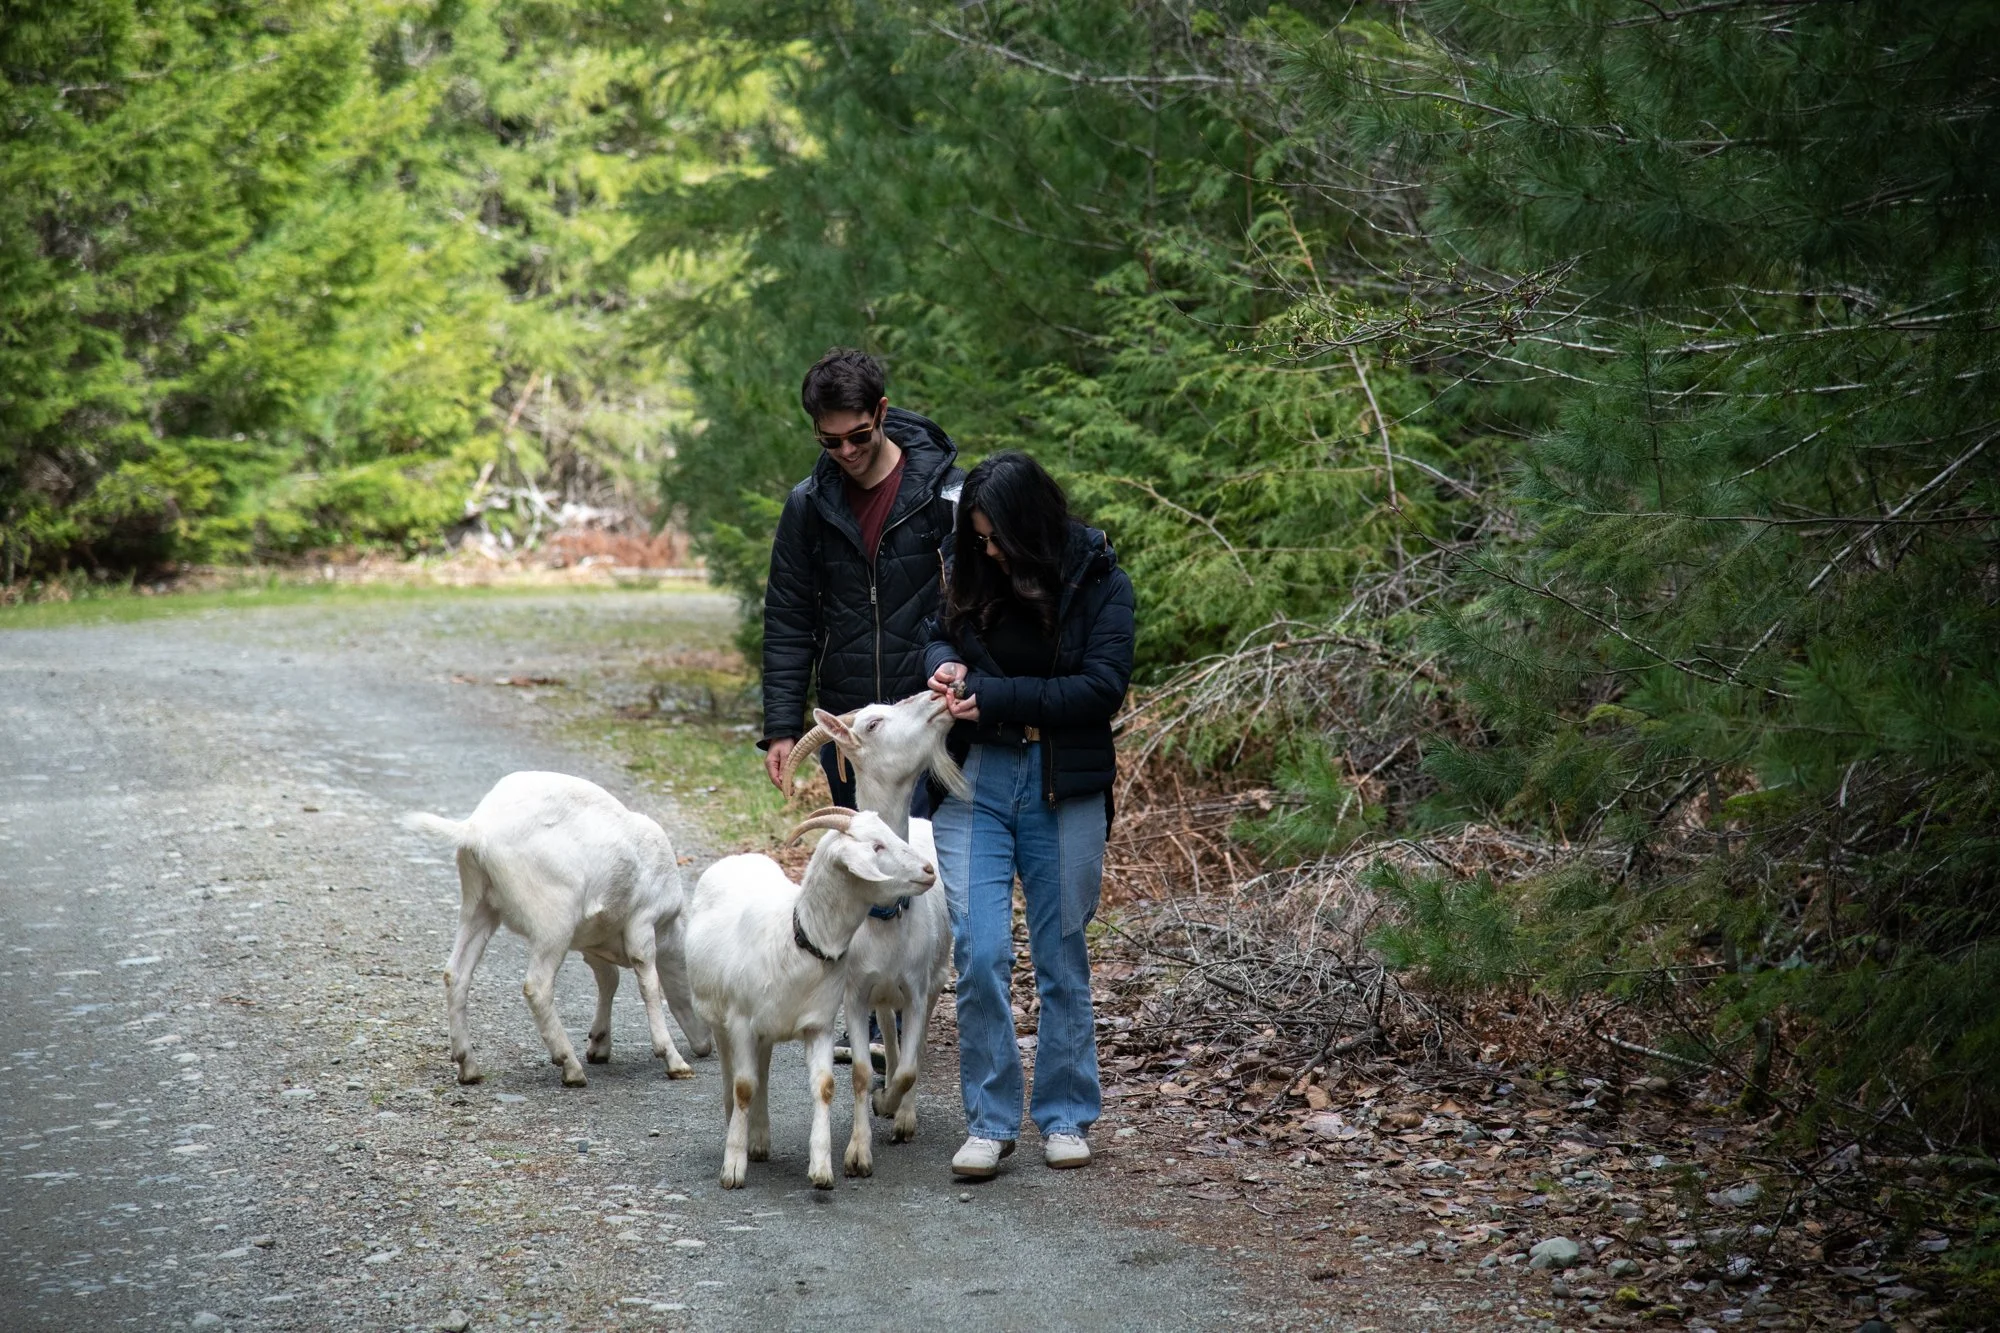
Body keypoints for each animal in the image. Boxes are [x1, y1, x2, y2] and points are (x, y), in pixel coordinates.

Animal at [400, 771, 712, 1088]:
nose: (706, 1047)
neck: (668, 930)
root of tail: (477, 829)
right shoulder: (642, 924)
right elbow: (647, 983)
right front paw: (674, 1061)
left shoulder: (593, 942)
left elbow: (608, 979)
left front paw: (599, 1044)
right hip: (554, 921)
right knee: (537, 986)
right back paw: (570, 1066)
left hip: (479, 905)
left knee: (456, 974)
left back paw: (469, 1066)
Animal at [684, 807, 936, 1190]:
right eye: (876, 846)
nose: (928, 870)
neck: (798, 938)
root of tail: (738, 859)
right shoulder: (741, 1022)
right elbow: (743, 1087)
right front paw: (733, 1167)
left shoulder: (818, 1025)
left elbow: (825, 1086)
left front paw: (821, 1167)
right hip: (721, 1018)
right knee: (733, 1075)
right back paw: (738, 1130)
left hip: (767, 1030)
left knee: (762, 1072)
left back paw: (759, 1139)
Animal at [779, 692, 969, 1176]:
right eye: (873, 723)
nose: (937, 693)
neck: (883, 917)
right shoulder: (855, 994)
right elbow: (863, 1073)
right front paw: (858, 1151)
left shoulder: (918, 988)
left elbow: (911, 1067)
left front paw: (894, 1110)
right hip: (881, 995)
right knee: (889, 1029)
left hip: (934, 978)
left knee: (914, 1048)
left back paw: (902, 1112)